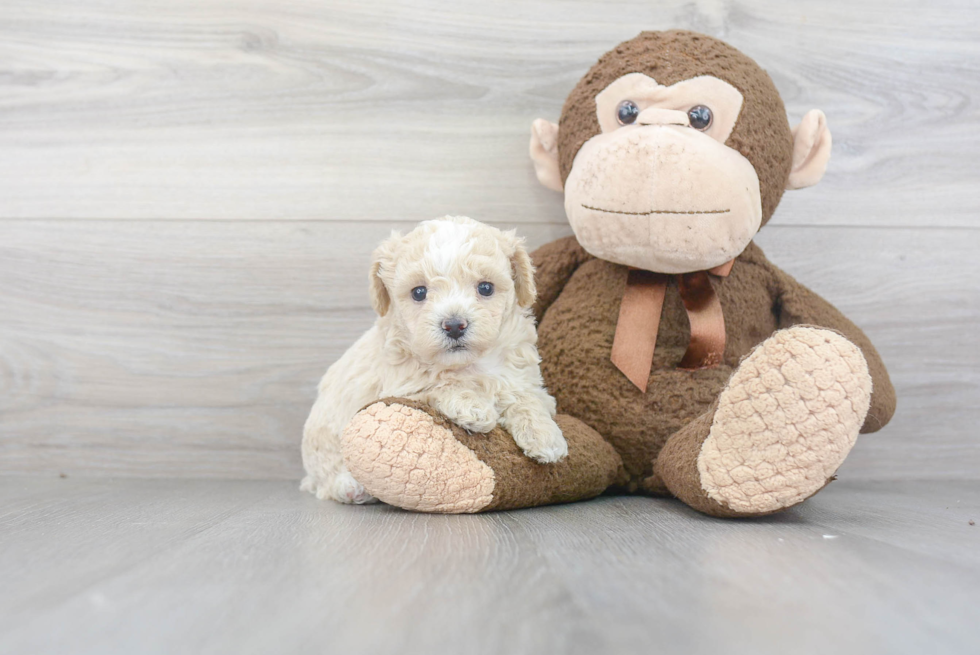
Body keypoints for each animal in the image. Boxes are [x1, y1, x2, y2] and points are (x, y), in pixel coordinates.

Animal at [302, 218, 572, 504]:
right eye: (419, 292)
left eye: (485, 288)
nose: (454, 325)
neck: (469, 364)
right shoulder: (403, 387)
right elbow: (440, 385)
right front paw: (472, 407)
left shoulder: (524, 379)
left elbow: (526, 398)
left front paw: (545, 436)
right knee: (325, 479)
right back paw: (350, 486)